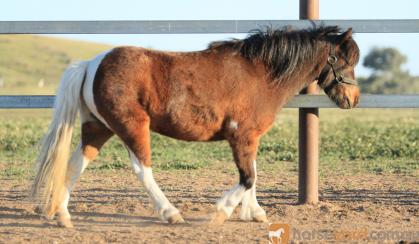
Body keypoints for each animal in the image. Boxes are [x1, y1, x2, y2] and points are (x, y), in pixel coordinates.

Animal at [32, 25, 360, 228]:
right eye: (345, 60)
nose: (353, 99)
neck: (260, 74)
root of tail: (91, 64)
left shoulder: (250, 137)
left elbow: (253, 174)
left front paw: (255, 213)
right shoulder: (240, 135)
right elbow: (248, 178)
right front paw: (222, 212)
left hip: (98, 128)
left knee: (75, 165)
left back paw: (62, 216)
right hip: (132, 126)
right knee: (142, 169)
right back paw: (171, 213)